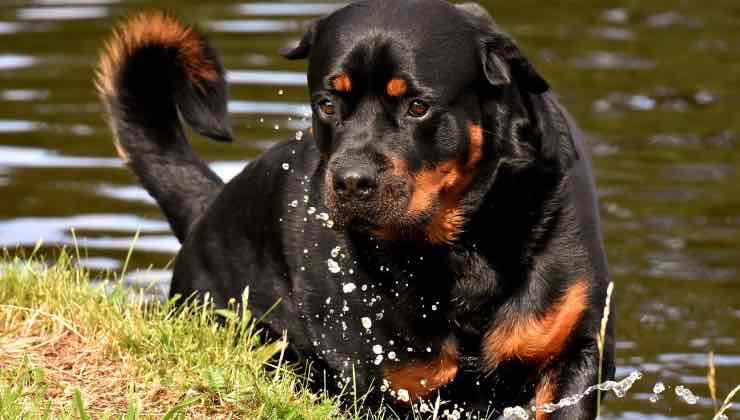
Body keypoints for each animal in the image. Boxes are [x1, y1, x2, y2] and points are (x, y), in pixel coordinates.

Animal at [97, 1, 612, 418]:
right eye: (327, 104)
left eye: (418, 106)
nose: (350, 181)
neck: (462, 250)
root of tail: (209, 209)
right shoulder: (381, 378)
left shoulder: (574, 355)